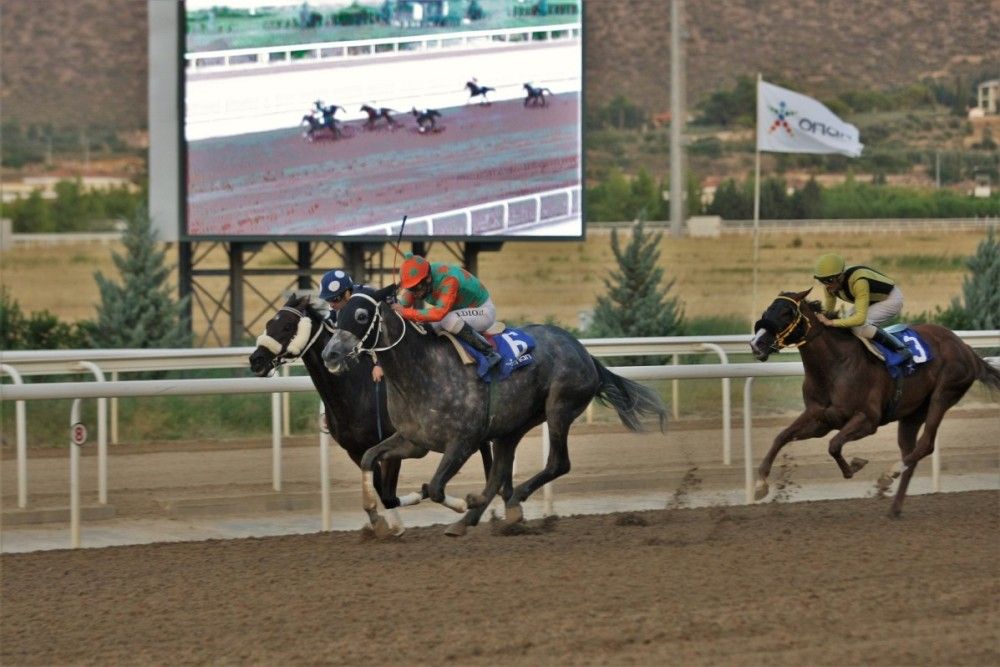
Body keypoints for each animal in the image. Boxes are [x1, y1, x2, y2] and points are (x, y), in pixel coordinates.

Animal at [320, 292, 664, 536]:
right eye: (336, 316)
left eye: (361, 315)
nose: (330, 354)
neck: (422, 371)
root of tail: (585, 353)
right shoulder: (412, 441)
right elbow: (369, 458)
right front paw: (375, 517)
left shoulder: (464, 441)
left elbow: (436, 487)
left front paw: (462, 502)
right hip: (512, 425)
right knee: (500, 472)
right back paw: (474, 519)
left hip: (559, 407)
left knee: (557, 463)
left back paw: (506, 502)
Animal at [752, 288, 1000, 516]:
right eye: (767, 310)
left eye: (786, 312)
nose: (756, 344)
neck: (835, 366)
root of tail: (967, 349)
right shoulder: (821, 419)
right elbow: (782, 436)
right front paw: (761, 484)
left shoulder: (868, 420)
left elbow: (834, 445)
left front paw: (855, 466)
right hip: (913, 414)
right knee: (911, 453)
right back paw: (895, 507)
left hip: (944, 394)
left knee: (926, 444)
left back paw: (888, 475)